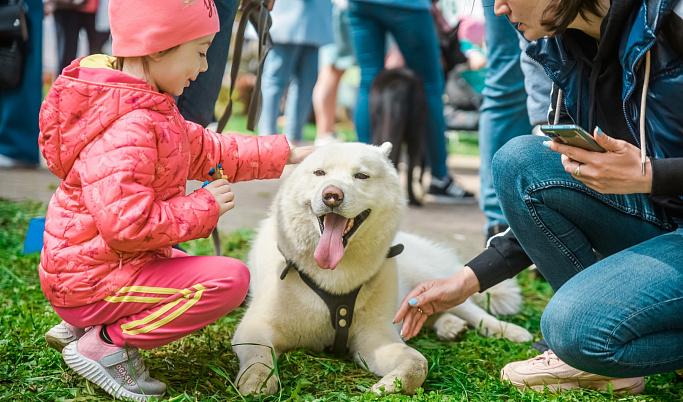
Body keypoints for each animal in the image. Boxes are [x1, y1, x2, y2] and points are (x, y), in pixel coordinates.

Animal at [235, 143, 536, 394]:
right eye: (319, 173)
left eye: (361, 176)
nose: (332, 195)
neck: (334, 278)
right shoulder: (254, 327)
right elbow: (259, 356)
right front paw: (257, 380)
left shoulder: (375, 338)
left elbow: (418, 362)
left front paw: (390, 385)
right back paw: (450, 326)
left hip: (431, 283)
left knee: (473, 311)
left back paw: (507, 330)